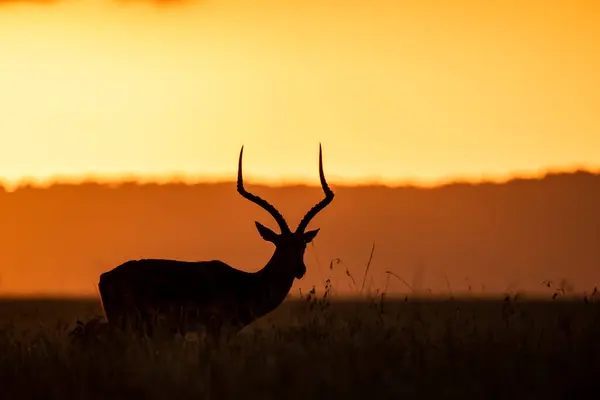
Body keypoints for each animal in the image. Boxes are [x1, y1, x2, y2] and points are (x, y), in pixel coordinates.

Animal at [96, 145, 336, 344]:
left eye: (302, 245)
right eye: (281, 244)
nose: (300, 269)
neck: (244, 284)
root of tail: (105, 277)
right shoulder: (216, 329)